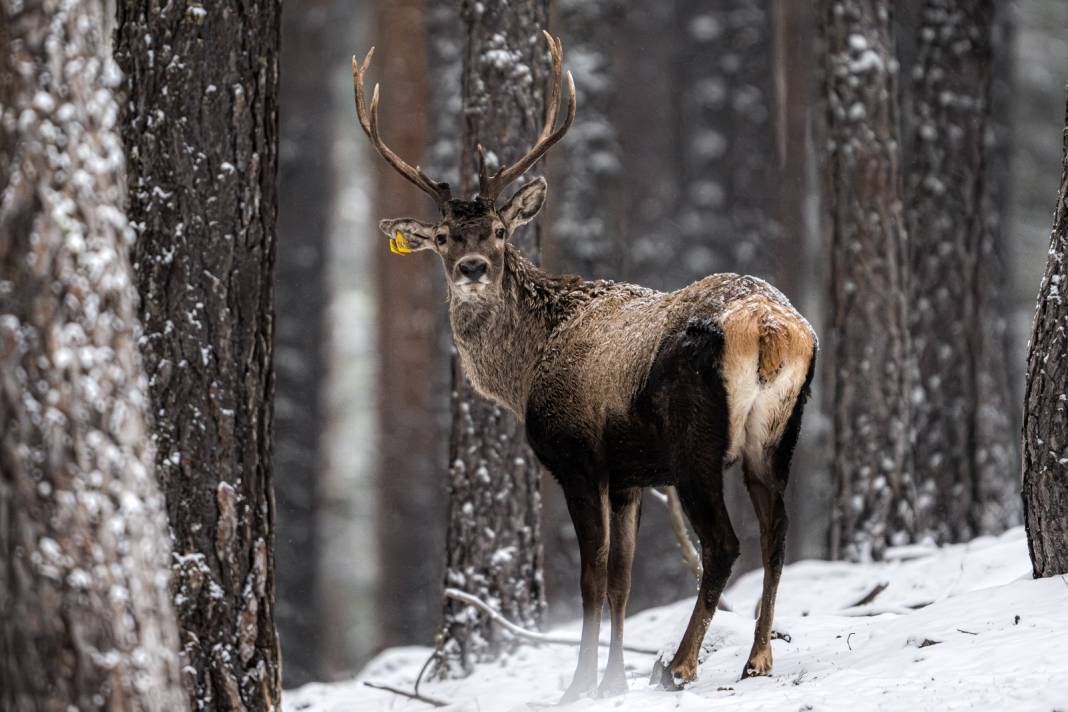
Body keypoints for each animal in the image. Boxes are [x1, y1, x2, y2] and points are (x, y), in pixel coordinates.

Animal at [352, 32, 815, 700]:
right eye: (441, 237)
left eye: (498, 230)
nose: (472, 269)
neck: (524, 373)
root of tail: (772, 327)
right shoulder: (628, 476)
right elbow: (622, 579)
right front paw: (612, 682)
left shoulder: (577, 457)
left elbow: (591, 576)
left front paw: (579, 687)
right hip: (776, 434)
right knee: (777, 533)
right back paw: (757, 658)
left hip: (695, 443)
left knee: (724, 544)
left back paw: (679, 665)